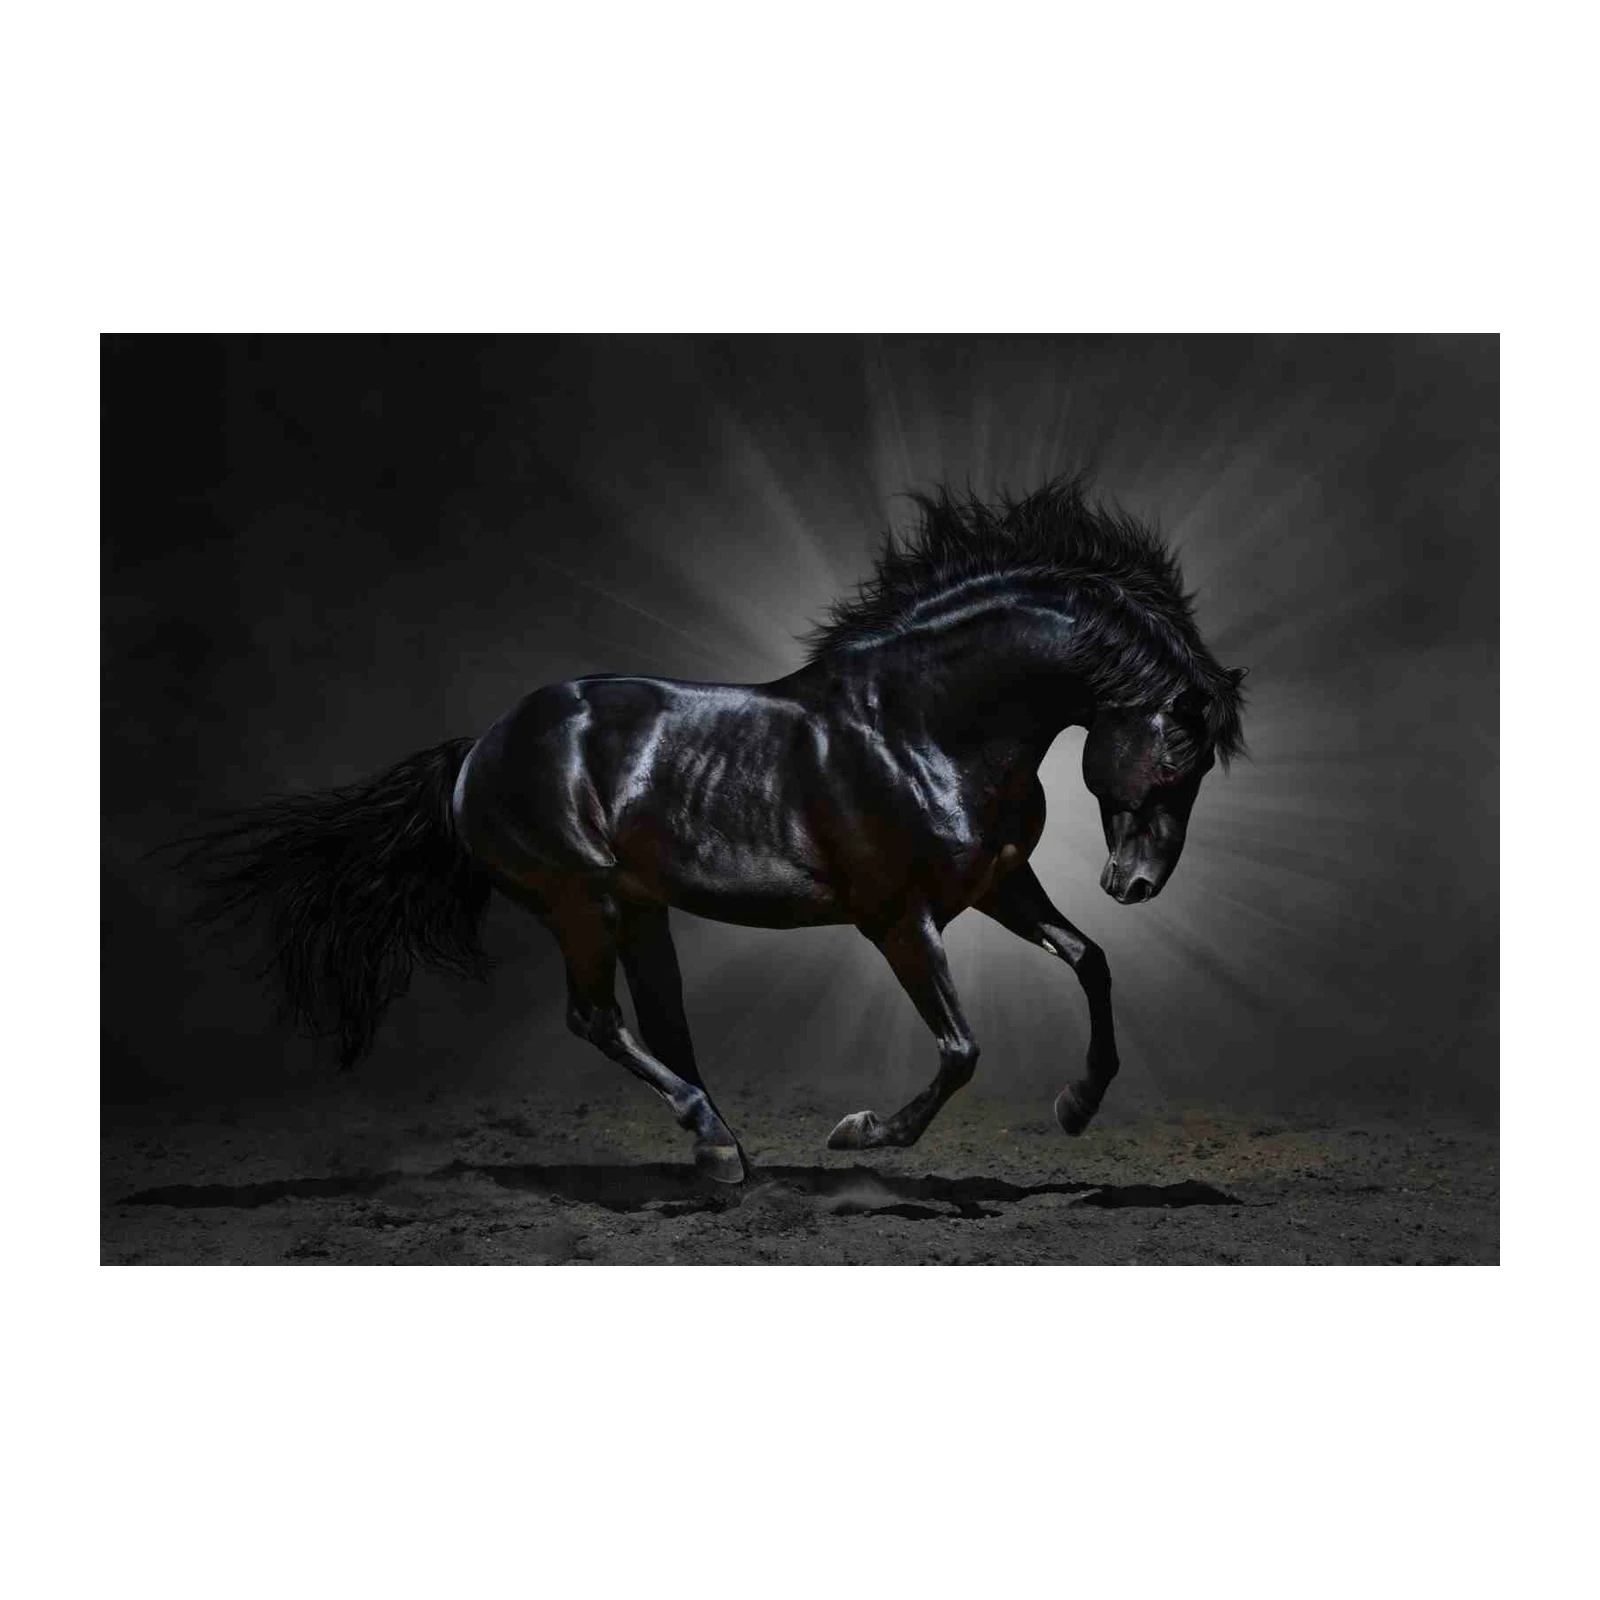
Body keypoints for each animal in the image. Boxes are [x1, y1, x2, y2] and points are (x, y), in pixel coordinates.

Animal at [175, 475, 1247, 1183]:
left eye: (1199, 769)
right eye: (1175, 757)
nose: (1135, 884)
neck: (921, 726)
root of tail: (478, 748)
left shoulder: (996, 885)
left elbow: (1090, 962)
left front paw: (1076, 1106)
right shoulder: (899, 918)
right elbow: (960, 1049)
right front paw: (861, 1134)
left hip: (638, 908)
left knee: (661, 1024)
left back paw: (721, 1148)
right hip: (578, 902)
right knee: (596, 1019)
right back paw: (717, 1145)